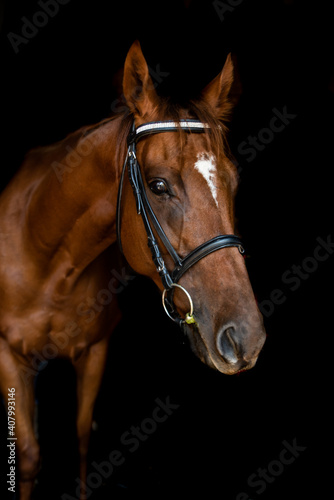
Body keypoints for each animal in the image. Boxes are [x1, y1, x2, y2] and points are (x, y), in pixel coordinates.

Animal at [0, 41, 266, 498]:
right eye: (158, 185)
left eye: (233, 181)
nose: (246, 336)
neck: (48, 261)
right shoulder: (7, 355)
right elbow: (29, 455)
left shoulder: (96, 350)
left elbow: (82, 439)